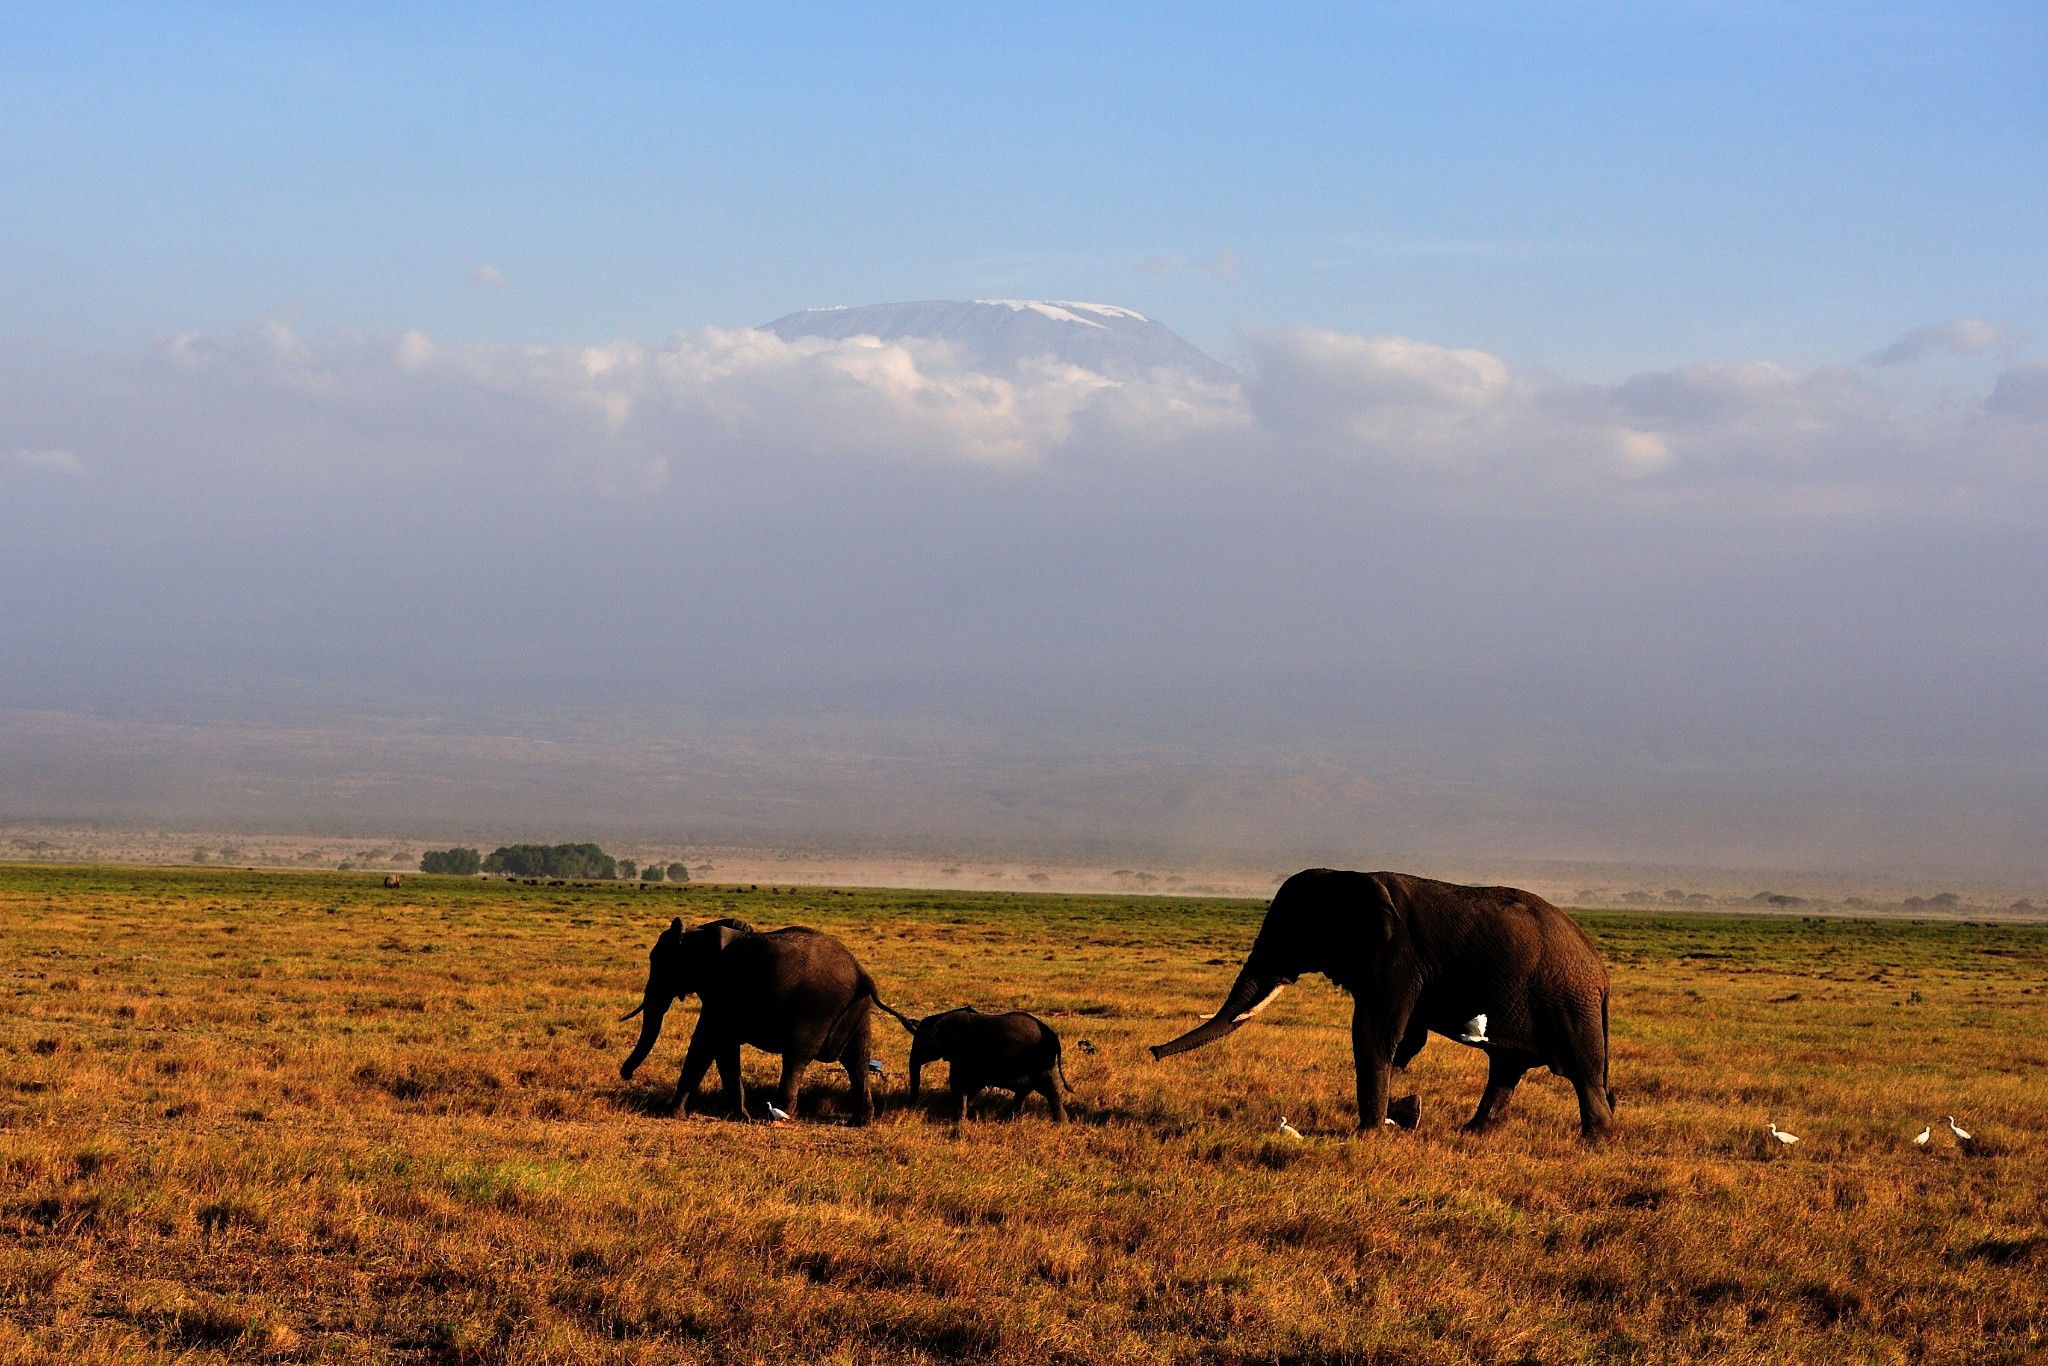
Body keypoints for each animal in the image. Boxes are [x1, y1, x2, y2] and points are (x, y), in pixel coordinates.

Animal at [606, 917, 897, 1122]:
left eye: (660, 963)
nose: (627, 1075)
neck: (696, 934)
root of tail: (862, 975)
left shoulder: (723, 989)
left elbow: (706, 1042)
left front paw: (672, 1114)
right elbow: (723, 1048)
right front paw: (738, 1116)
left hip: (816, 1008)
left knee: (795, 1058)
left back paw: (780, 1115)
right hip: (857, 1009)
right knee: (857, 1060)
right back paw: (859, 1122)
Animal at [909, 1003, 1073, 1122]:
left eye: (923, 1044)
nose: (913, 1108)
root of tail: (1055, 1039)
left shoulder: (963, 1052)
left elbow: (959, 1082)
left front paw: (958, 1121)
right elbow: (971, 1085)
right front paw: (969, 1114)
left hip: (1041, 1061)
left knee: (1049, 1089)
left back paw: (1060, 1124)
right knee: (1027, 1090)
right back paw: (1008, 1120)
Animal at [1155, 872, 1613, 1138]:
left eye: (1294, 927)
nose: (1153, 1051)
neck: (1349, 877)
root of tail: (1601, 972)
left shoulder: (1397, 957)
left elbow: (1376, 1032)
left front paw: (1368, 1132)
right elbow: (1404, 1041)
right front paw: (1406, 1113)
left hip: (1569, 1002)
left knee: (1582, 1073)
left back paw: (1595, 1141)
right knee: (1506, 1069)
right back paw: (1472, 1132)